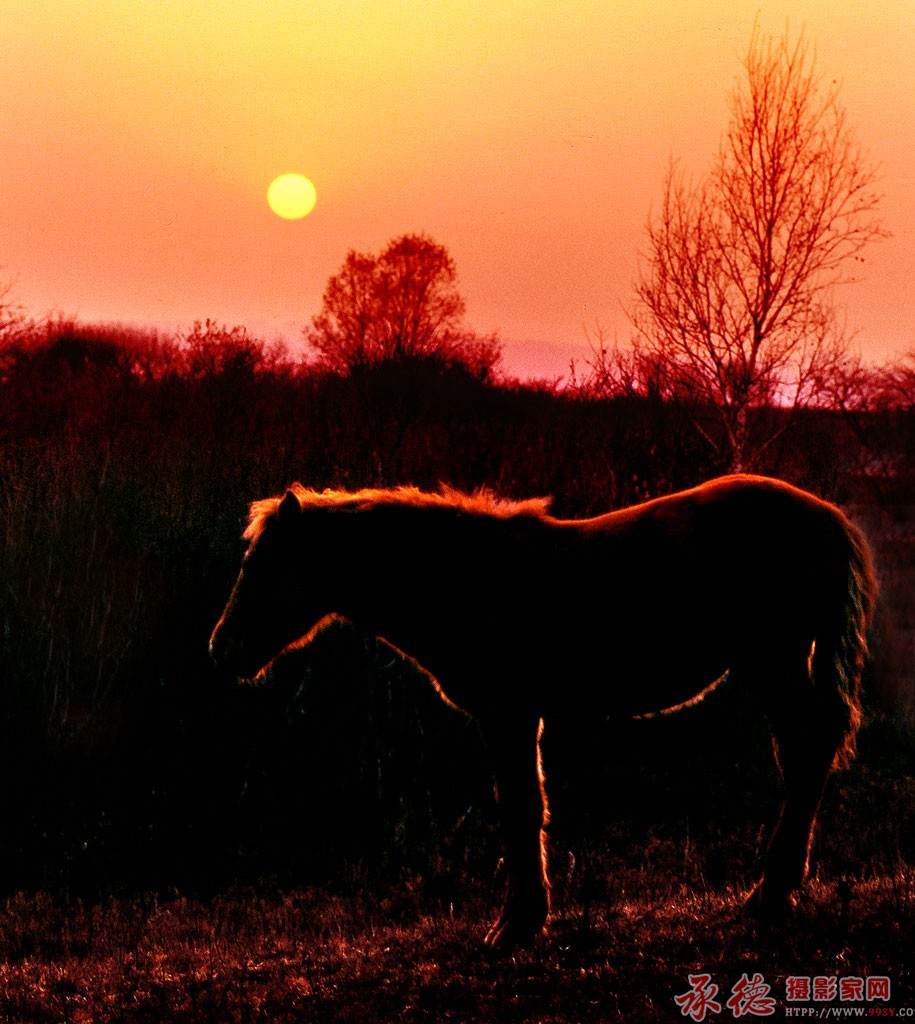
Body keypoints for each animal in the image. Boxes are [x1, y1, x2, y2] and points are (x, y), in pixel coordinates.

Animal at [210, 475, 876, 946]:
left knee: (807, 751)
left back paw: (773, 892)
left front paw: (518, 925)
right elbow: (527, 805)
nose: (223, 650)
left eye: (259, 567)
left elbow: (521, 808)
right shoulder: (519, 715)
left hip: (773, 663)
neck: (465, 579)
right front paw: (525, 918)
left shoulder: (507, 714)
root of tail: (829, 518)